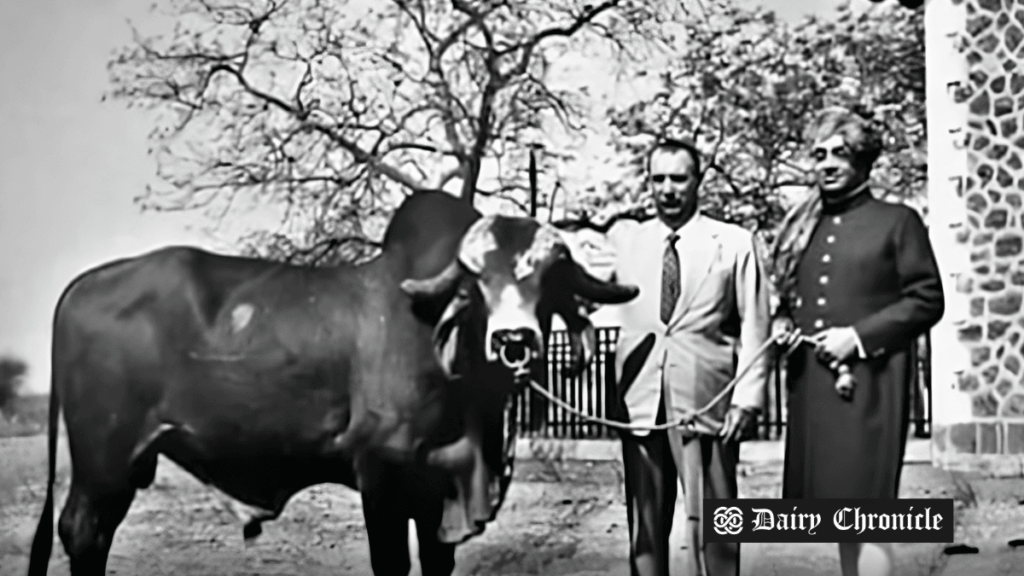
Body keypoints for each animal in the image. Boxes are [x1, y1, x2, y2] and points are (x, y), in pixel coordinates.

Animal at [24, 189, 634, 573]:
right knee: (82, 531)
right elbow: (392, 562)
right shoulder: (381, 474)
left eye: (548, 276)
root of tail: (82, 285)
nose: (515, 340)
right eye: (476, 281)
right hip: (104, 458)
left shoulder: (437, 490)